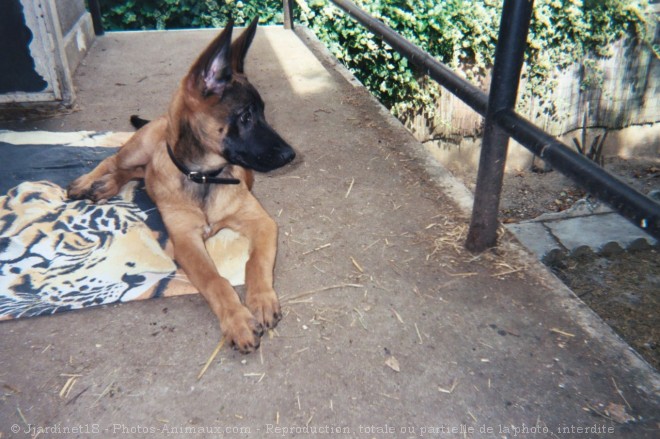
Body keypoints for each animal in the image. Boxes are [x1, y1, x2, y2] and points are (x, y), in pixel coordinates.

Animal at [68, 18, 296, 354]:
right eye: (245, 116)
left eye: (263, 112)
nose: (291, 155)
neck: (205, 176)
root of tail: (159, 118)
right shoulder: (186, 241)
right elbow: (215, 281)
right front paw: (238, 320)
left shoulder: (263, 222)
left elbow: (257, 261)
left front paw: (262, 299)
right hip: (138, 147)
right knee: (114, 159)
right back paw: (88, 182)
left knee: (134, 173)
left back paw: (106, 187)